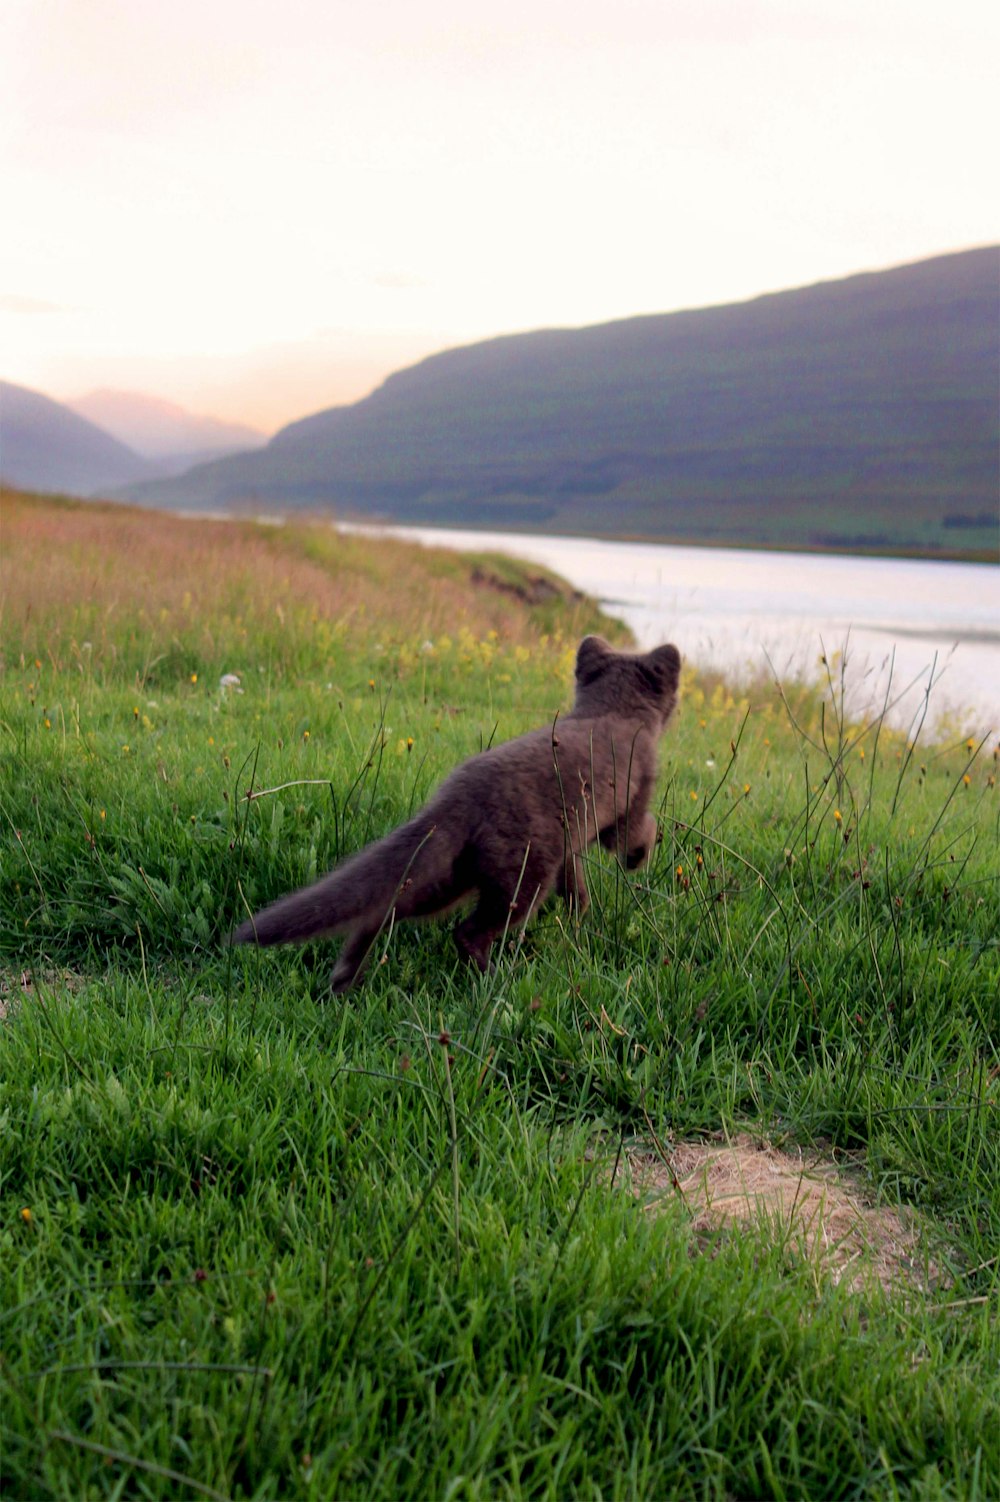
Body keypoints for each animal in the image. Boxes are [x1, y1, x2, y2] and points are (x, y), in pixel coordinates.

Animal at [229, 630, 678, 991]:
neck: (608, 711)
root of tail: (454, 798)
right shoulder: (632, 796)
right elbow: (639, 829)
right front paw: (638, 859)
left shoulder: (569, 843)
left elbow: (575, 880)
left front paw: (579, 913)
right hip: (519, 880)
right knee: (467, 932)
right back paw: (494, 979)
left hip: (450, 878)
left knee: (383, 913)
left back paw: (344, 981)